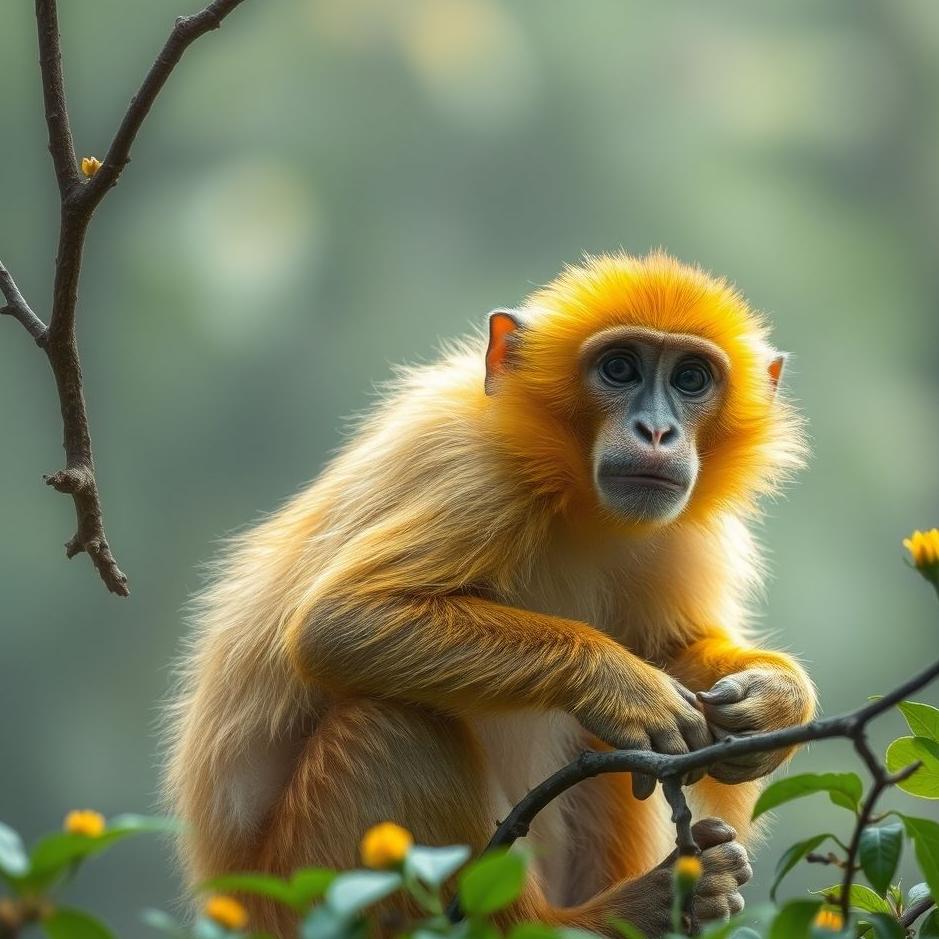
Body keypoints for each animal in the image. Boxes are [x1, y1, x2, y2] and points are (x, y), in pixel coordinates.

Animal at [165, 251, 815, 937]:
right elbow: (337, 623)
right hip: (305, 886)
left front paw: (776, 700)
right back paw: (601, 915)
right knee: (390, 721)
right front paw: (621, 685)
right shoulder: (477, 474)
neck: (575, 496)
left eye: (691, 378)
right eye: (619, 368)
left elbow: (675, 657)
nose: (657, 431)